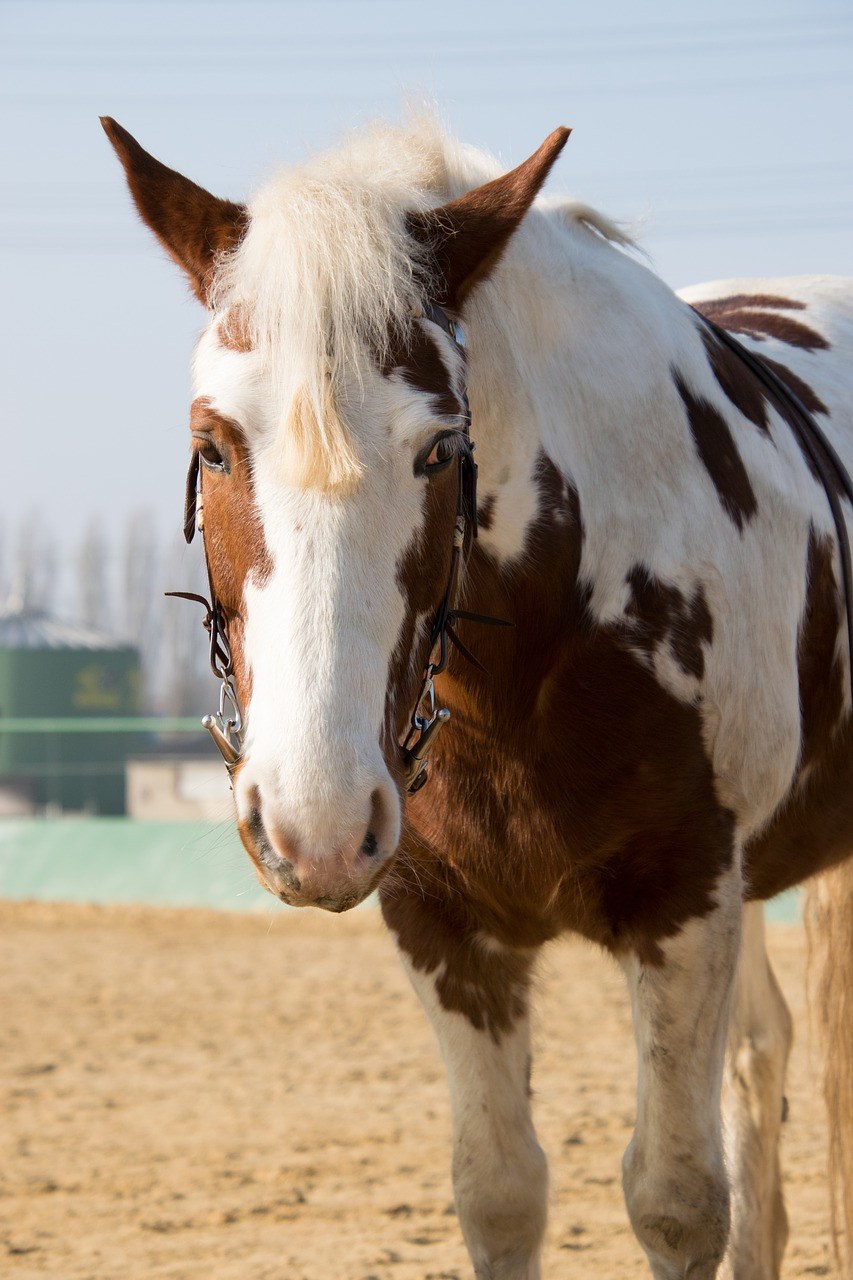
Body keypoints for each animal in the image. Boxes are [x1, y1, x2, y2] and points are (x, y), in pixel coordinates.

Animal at [102, 113, 853, 1278]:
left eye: (439, 447)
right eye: (211, 444)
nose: (315, 825)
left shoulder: (684, 898)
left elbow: (677, 1198)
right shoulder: (443, 924)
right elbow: (499, 1189)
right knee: (759, 1054)